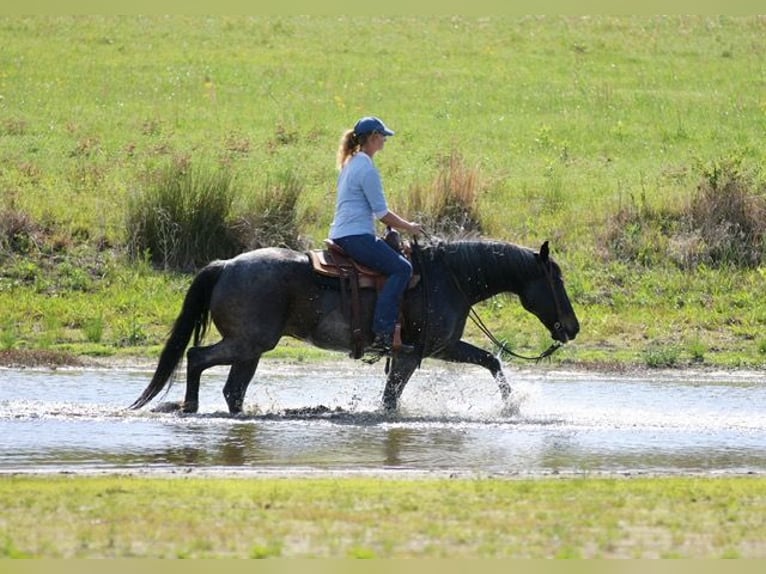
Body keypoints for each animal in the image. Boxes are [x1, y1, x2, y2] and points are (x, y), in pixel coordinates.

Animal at [129, 238, 579, 414]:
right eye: (555, 281)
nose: (572, 328)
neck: (448, 277)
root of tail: (225, 265)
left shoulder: (437, 349)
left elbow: (490, 361)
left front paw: (511, 404)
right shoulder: (423, 352)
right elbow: (393, 397)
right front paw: (512, 405)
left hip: (251, 349)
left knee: (231, 388)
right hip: (246, 343)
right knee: (196, 356)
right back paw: (190, 406)